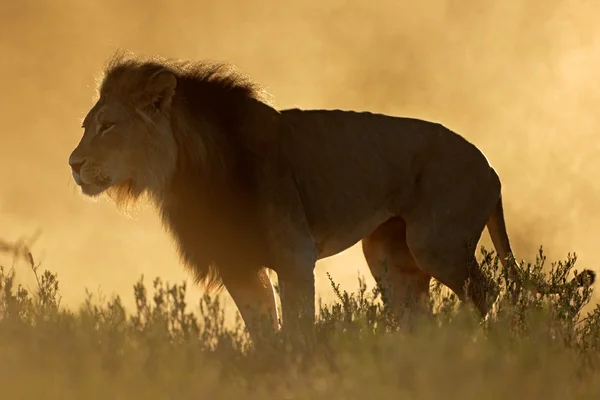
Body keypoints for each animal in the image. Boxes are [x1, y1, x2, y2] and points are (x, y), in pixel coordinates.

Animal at [67, 51, 596, 340]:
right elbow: (264, 332)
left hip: (437, 244)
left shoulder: (294, 255)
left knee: (491, 295)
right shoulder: (238, 263)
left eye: (108, 126)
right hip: (388, 255)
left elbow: (300, 328)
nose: (72, 164)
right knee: (419, 317)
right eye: (86, 126)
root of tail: (491, 167)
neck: (185, 172)